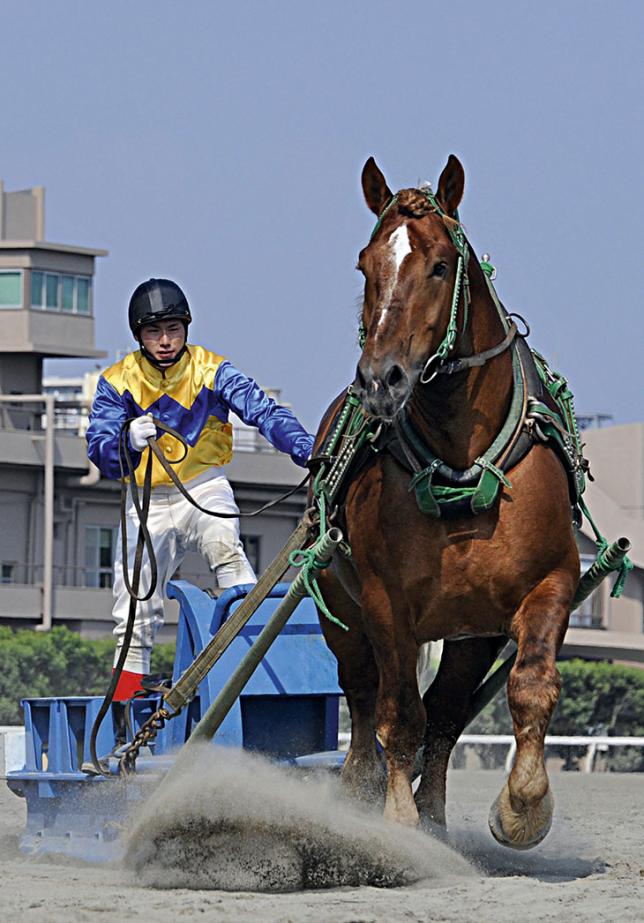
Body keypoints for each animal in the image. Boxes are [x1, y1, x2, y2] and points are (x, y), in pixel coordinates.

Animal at [314, 153, 580, 852]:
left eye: (438, 265)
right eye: (366, 265)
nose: (380, 379)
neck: (462, 463)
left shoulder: (550, 582)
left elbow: (529, 687)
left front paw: (522, 804)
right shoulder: (384, 602)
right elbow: (398, 713)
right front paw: (397, 821)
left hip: (468, 632)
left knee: (448, 714)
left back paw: (434, 815)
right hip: (340, 610)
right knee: (364, 696)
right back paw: (360, 793)